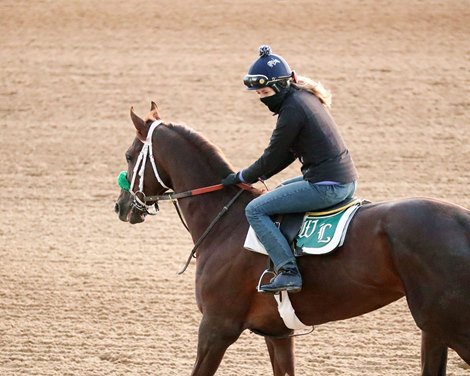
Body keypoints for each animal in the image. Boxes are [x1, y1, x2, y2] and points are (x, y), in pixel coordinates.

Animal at [114, 103, 470, 376]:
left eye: (130, 155)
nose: (121, 206)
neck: (224, 222)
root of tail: (463, 220)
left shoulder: (216, 327)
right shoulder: (278, 334)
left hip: (447, 323)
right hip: (433, 329)